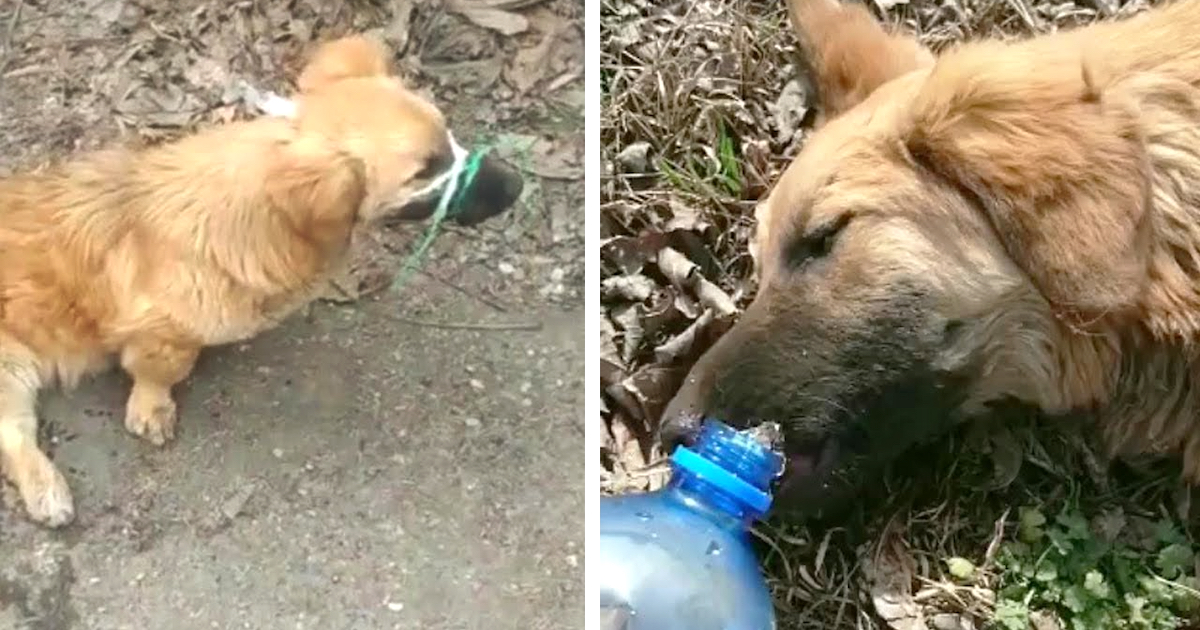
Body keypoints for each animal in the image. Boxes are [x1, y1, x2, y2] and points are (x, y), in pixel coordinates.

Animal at [1, 34, 525, 525]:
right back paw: (47, 489)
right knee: (15, 435)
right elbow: (162, 371)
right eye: (423, 171)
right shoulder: (163, 332)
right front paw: (152, 407)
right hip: (10, 365)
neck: (266, 214)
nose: (518, 185)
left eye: (450, 138)